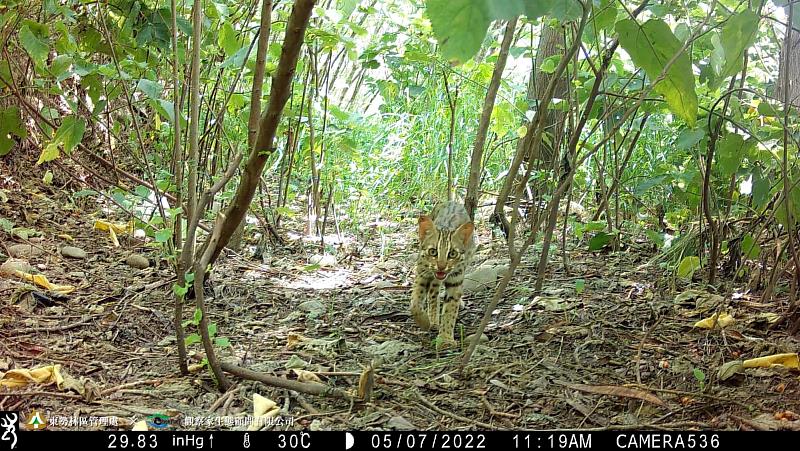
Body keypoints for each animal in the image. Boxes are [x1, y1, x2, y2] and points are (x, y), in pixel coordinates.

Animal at [412, 200, 476, 350]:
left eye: (452, 254)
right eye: (433, 252)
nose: (441, 266)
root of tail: (452, 201)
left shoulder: (455, 280)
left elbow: (450, 309)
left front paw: (445, 339)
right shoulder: (422, 273)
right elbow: (415, 304)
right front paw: (424, 322)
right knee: (433, 293)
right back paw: (433, 320)